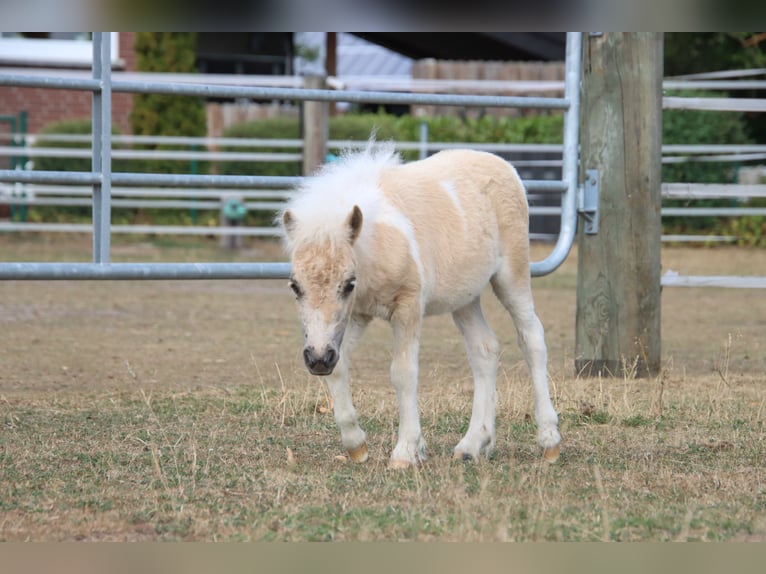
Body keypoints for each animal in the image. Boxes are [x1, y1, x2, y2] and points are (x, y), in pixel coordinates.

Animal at [278, 142, 560, 468]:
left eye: (348, 283)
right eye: (295, 286)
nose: (318, 359)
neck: (378, 242)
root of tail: (503, 164)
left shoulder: (407, 306)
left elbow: (403, 373)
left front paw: (406, 451)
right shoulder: (357, 315)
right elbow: (340, 367)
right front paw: (356, 445)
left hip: (511, 277)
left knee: (532, 338)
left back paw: (549, 441)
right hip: (464, 297)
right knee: (485, 349)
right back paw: (473, 444)